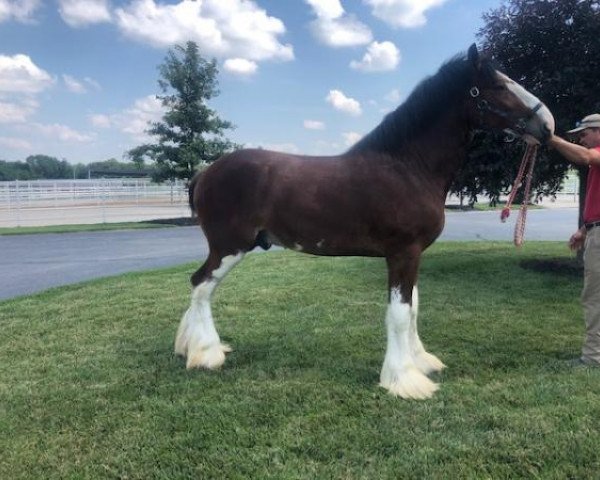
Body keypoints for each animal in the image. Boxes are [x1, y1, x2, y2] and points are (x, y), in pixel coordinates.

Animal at [173, 45, 552, 400]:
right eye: (498, 86)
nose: (548, 125)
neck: (408, 167)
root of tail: (206, 173)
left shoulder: (414, 255)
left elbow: (414, 308)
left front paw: (421, 362)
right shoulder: (402, 252)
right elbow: (399, 314)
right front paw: (405, 380)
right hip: (230, 247)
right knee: (201, 285)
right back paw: (207, 354)